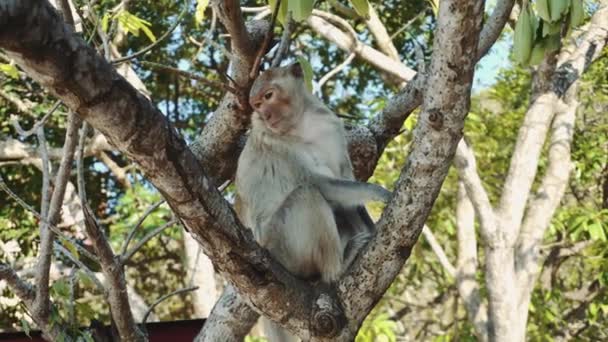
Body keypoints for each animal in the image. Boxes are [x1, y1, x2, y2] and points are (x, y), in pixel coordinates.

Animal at [236, 62, 390, 340]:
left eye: (268, 96)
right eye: (256, 105)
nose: (266, 116)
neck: (300, 122)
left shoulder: (330, 127)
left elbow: (342, 179)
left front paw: (371, 224)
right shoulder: (274, 141)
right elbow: (319, 183)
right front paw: (378, 192)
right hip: (282, 250)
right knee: (306, 195)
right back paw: (337, 269)